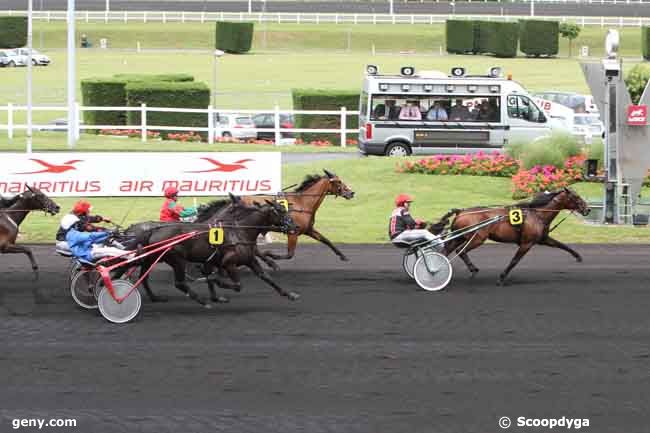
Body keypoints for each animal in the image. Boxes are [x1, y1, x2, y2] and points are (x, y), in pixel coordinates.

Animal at [432, 187, 588, 286]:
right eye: (575, 197)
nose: (587, 209)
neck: (537, 214)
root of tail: (460, 212)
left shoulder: (543, 239)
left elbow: (562, 245)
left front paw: (578, 256)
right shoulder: (527, 243)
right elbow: (514, 261)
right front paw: (501, 278)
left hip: (459, 237)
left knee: (446, 251)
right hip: (477, 238)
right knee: (461, 251)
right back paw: (472, 270)